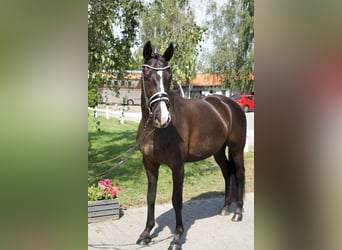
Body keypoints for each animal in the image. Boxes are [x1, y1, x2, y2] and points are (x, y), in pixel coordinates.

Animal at [135, 41, 244, 250]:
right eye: (146, 75)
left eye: (169, 77)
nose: (163, 118)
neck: (155, 130)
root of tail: (229, 104)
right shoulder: (149, 164)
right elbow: (150, 196)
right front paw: (146, 233)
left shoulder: (178, 166)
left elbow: (177, 200)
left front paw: (177, 238)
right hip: (218, 151)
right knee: (228, 172)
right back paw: (226, 208)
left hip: (237, 149)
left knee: (240, 173)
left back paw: (238, 212)